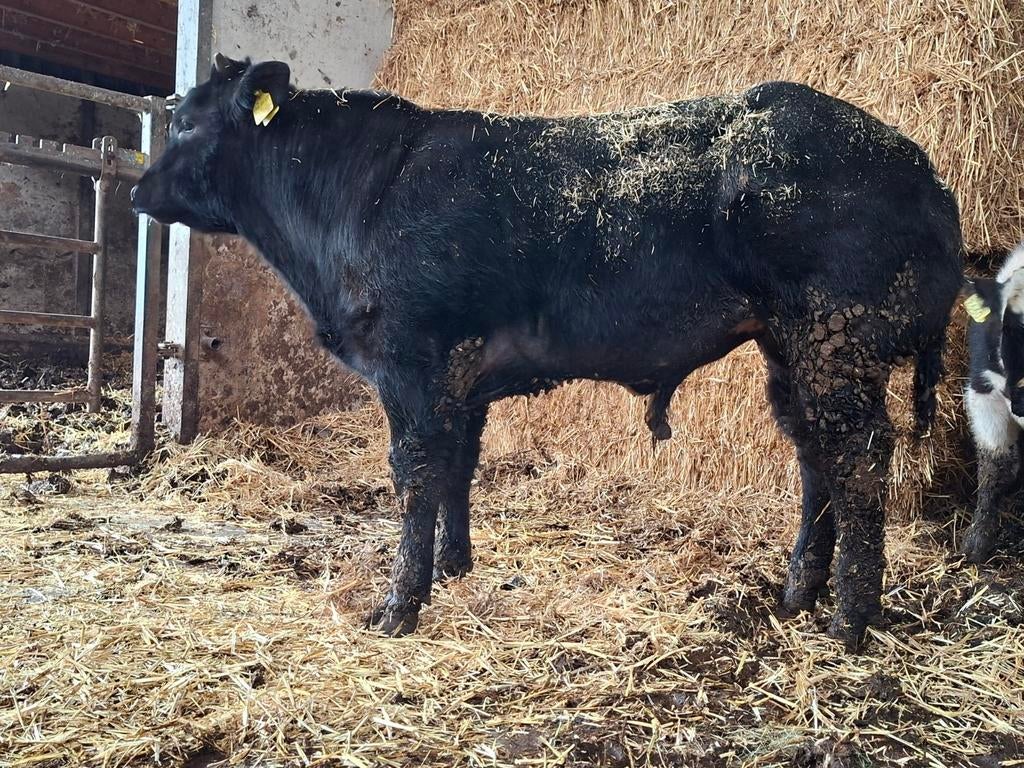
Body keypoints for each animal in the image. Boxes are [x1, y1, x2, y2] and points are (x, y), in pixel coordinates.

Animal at [132, 55, 963, 649]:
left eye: (185, 123)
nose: (138, 192)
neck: (355, 202)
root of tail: (920, 163)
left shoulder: (412, 360)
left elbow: (414, 477)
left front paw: (399, 607)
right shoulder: (461, 375)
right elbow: (457, 470)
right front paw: (454, 568)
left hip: (837, 333)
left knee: (859, 456)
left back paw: (849, 622)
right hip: (792, 345)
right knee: (814, 453)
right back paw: (797, 594)